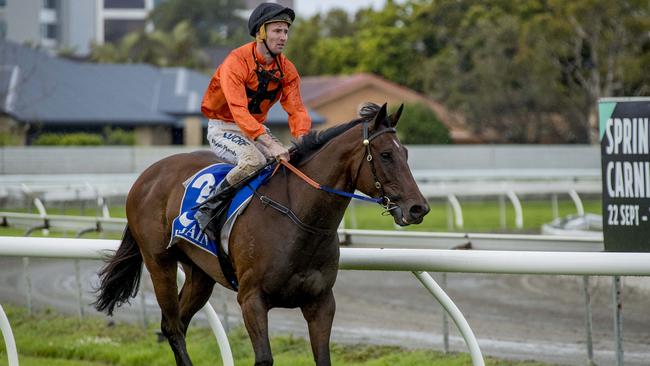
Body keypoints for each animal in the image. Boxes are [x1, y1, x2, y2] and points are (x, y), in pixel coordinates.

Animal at [91, 101, 426, 364]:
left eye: (407, 153)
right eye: (385, 155)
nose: (418, 208)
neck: (299, 219)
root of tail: (146, 176)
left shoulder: (321, 301)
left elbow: (323, 358)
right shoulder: (252, 299)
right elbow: (263, 358)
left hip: (200, 274)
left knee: (179, 324)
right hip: (159, 262)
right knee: (172, 327)